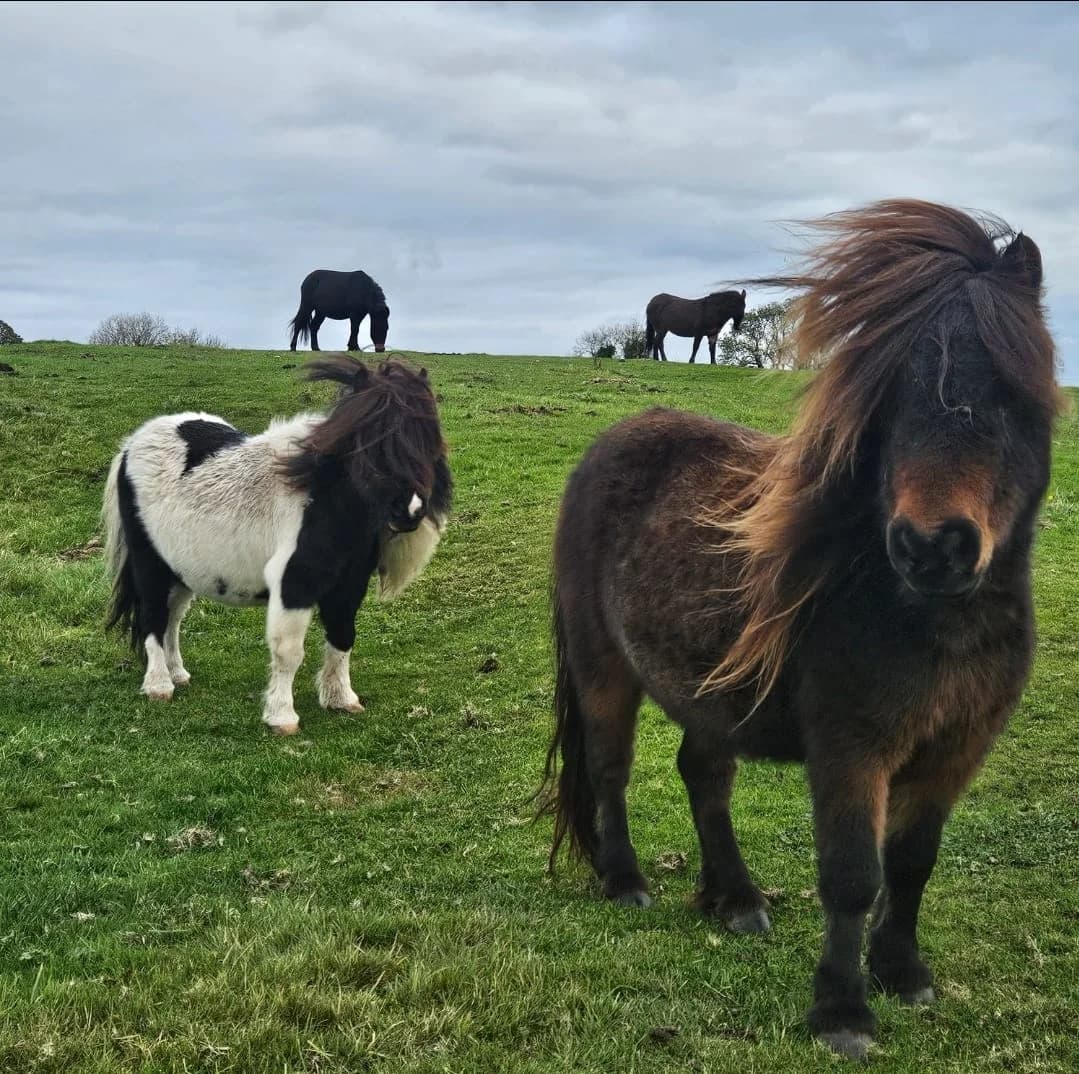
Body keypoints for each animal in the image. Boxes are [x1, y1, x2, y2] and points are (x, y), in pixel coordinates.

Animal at [102, 355, 452, 736]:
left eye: (429, 435)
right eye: (370, 438)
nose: (410, 511)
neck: (323, 498)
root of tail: (131, 444)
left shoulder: (349, 586)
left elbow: (343, 637)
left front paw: (341, 699)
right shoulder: (294, 585)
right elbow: (289, 652)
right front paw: (282, 717)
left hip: (180, 570)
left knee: (172, 618)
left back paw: (178, 673)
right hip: (149, 564)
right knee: (153, 616)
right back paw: (159, 685)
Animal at [539, 200, 1062, 1060]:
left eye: (1011, 389)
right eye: (891, 392)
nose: (932, 546)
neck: (931, 619)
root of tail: (610, 443)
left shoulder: (954, 750)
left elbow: (911, 862)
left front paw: (902, 971)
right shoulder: (851, 749)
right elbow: (852, 876)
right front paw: (841, 1011)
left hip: (709, 692)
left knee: (703, 776)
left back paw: (735, 898)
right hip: (604, 668)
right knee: (611, 769)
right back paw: (627, 883)